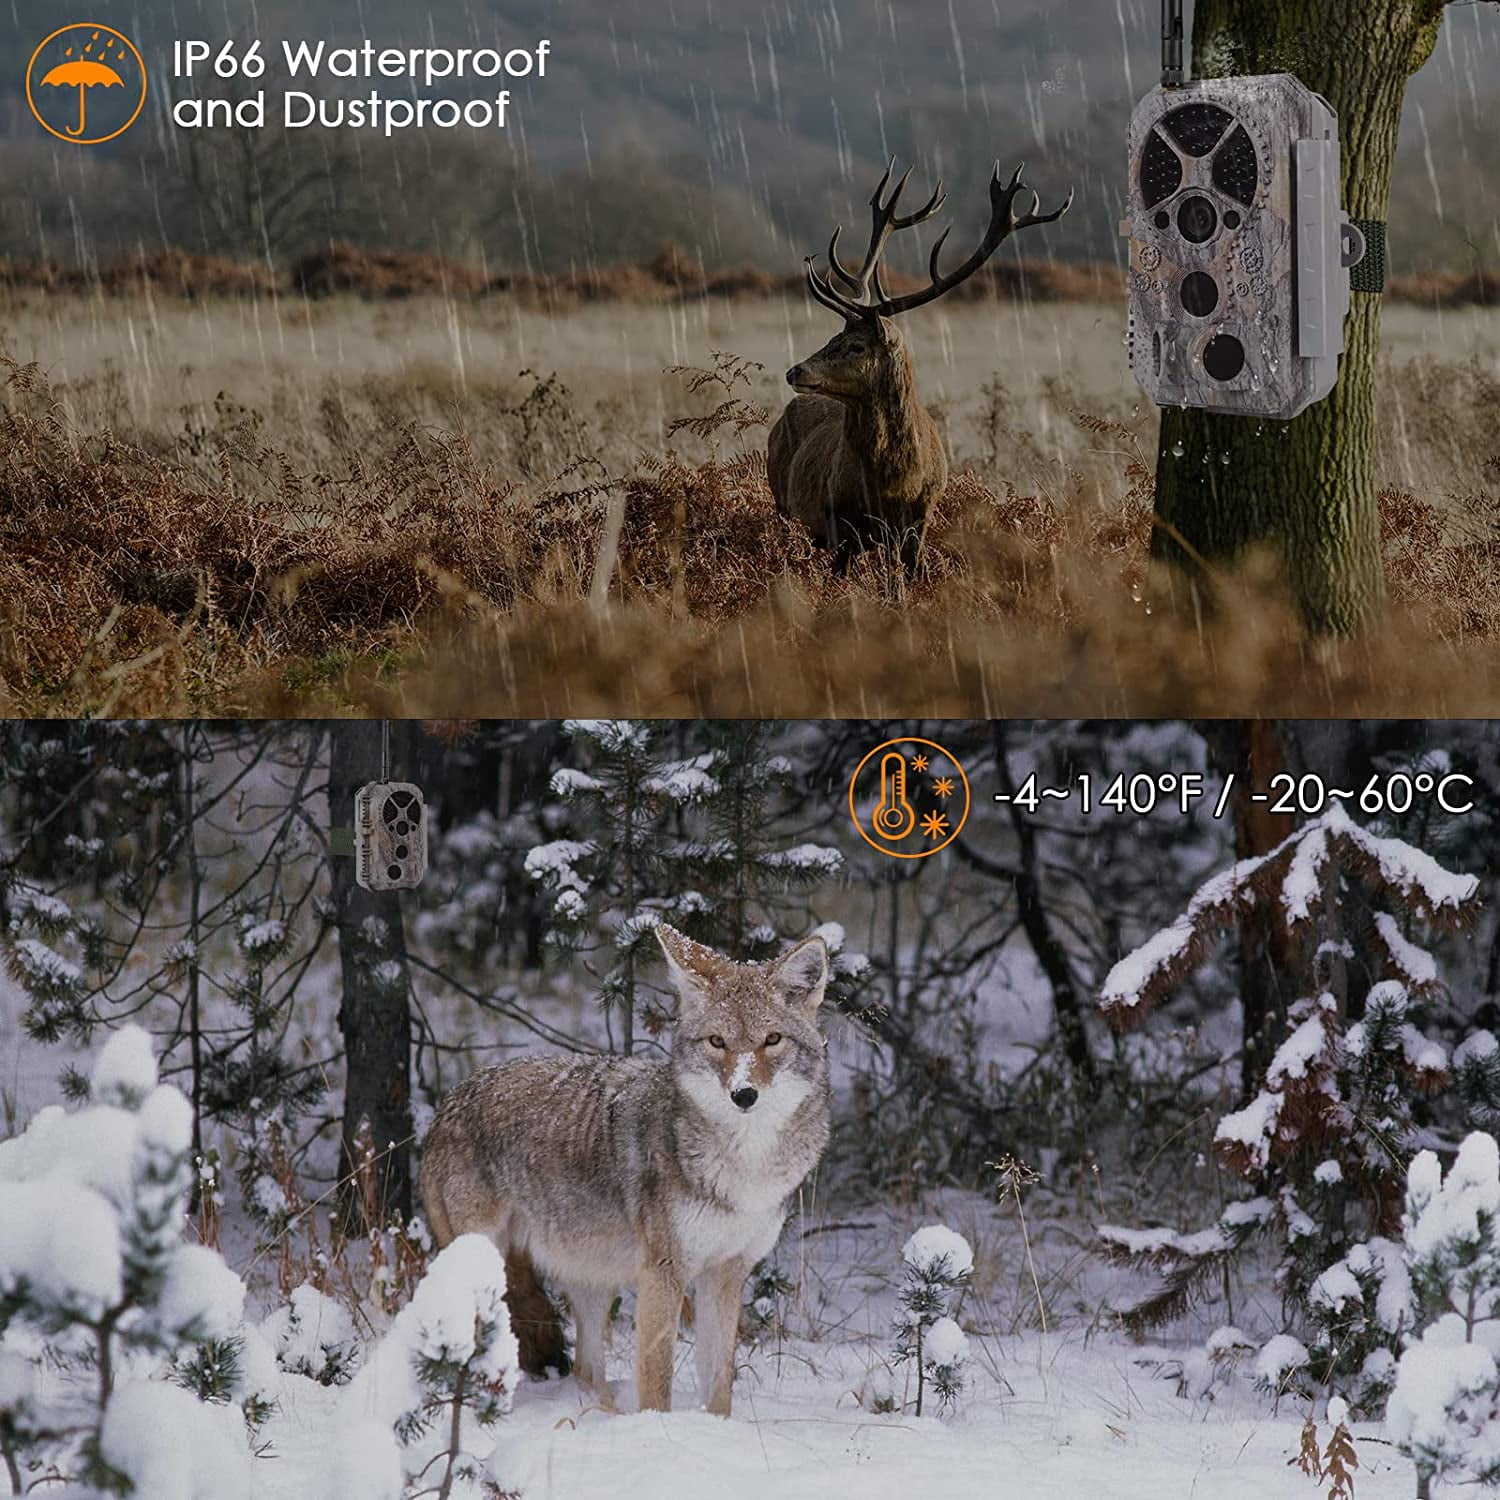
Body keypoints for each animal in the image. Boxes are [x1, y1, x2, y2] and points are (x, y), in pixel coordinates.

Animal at [769, 158, 1072, 574]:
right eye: (832, 337)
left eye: (856, 345)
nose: (795, 371)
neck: (893, 485)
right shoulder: (839, 523)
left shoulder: (919, 520)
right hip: (782, 504)